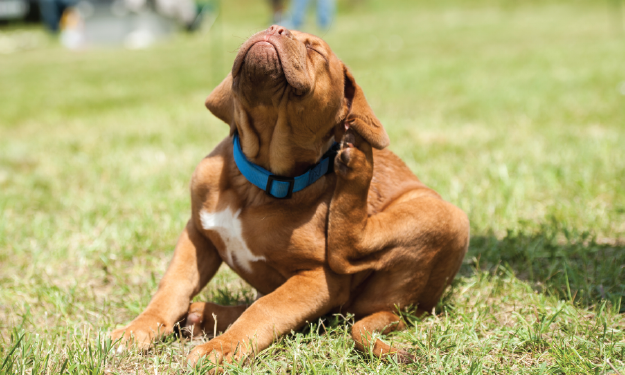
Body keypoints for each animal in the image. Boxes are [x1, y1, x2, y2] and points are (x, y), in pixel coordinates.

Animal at [111, 25, 468, 368]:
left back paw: (358, 161)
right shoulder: (197, 234)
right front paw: (137, 329)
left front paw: (222, 348)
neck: (258, 181)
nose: (275, 28)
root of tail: (402, 310)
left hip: (445, 216)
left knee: (348, 252)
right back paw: (203, 315)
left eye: (315, 50)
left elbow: (267, 309)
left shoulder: (319, 279)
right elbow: (172, 288)